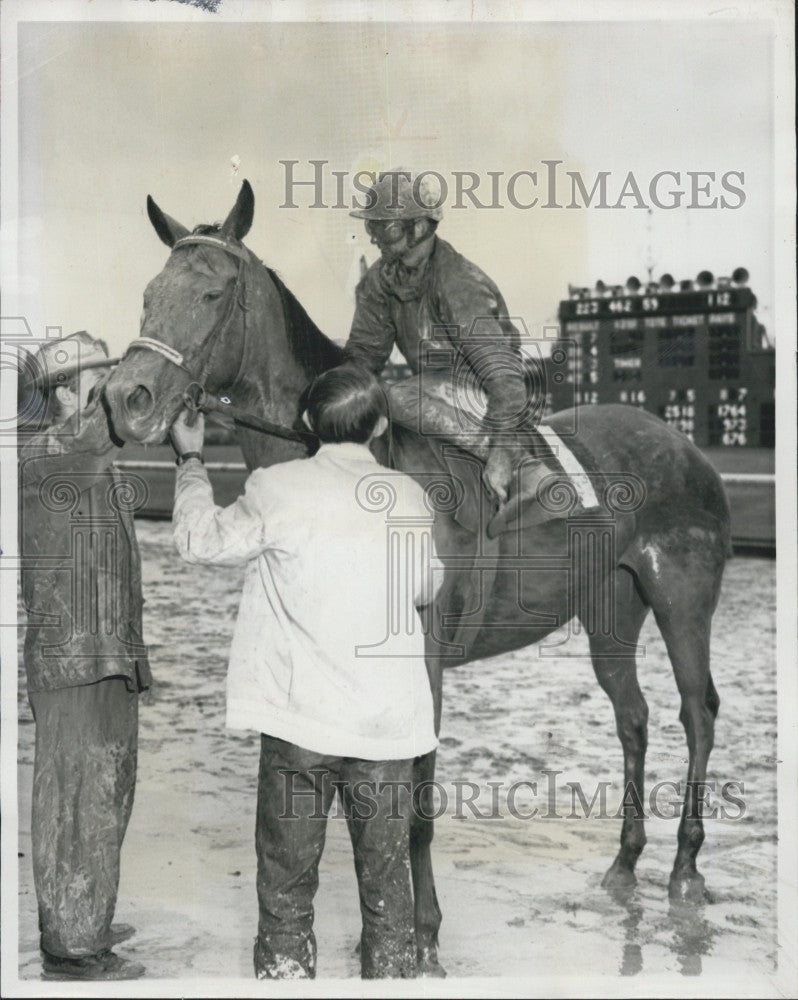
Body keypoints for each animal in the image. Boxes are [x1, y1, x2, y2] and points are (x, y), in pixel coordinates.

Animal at [104, 180, 732, 976]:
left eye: (213, 292)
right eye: (149, 294)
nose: (126, 398)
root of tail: (683, 444)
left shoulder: (423, 658)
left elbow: (416, 804)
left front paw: (424, 936)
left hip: (682, 597)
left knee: (697, 711)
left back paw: (684, 865)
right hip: (611, 610)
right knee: (634, 717)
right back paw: (624, 861)